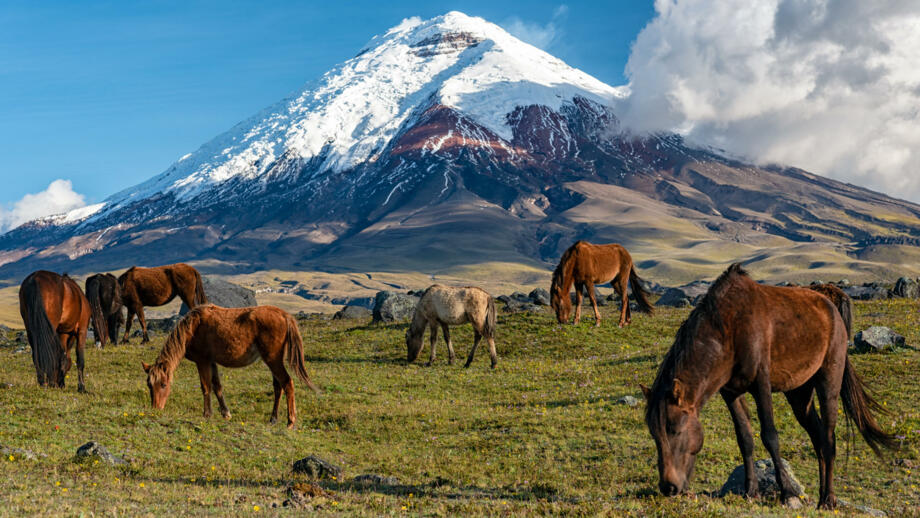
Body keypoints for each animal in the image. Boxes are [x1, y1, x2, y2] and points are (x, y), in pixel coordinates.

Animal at [142, 304, 319, 429]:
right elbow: (217, 386)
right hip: (273, 360)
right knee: (278, 387)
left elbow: (205, 387)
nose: (156, 409)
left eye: (163, 384)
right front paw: (226, 413)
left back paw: (290, 421)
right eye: (149, 385)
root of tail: (285, 315)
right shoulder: (212, 362)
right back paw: (273, 419)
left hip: (273, 359)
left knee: (287, 383)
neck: (193, 327)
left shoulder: (202, 361)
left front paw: (207, 414)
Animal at [641, 264, 896, 510]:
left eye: (675, 430)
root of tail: (830, 304)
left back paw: (828, 499)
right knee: (817, 437)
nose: (668, 487)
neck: (729, 330)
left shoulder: (761, 385)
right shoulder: (730, 392)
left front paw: (788, 493)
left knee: (828, 438)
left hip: (828, 383)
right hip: (799, 394)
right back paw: (822, 496)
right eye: (654, 433)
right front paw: (751, 491)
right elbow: (744, 438)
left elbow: (770, 436)